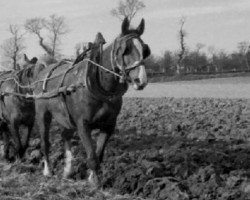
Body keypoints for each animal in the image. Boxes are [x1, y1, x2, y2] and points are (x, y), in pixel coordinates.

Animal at [33, 16, 150, 187]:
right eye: (125, 49)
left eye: (145, 50)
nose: (141, 80)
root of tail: (44, 70)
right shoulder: (83, 124)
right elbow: (92, 156)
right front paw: (94, 182)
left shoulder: (108, 125)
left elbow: (98, 154)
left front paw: (92, 178)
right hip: (43, 115)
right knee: (45, 142)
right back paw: (48, 171)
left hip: (67, 119)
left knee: (65, 135)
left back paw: (68, 171)